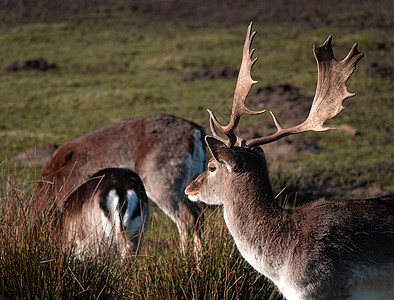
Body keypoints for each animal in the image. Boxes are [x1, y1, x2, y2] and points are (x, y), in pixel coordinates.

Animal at [37, 113, 206, 254]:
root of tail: (197, 133)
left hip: (162, 181)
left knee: (186, 219)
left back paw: (183, 257)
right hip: (192, 184)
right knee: (199, 216)